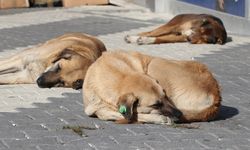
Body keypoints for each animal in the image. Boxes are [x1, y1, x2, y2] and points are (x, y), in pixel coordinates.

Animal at [83, 51, 221, 123]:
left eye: (166, 96)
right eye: (155, 105)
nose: (179, 113)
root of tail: (216, 95)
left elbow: (132, 115)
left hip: (155, 63)